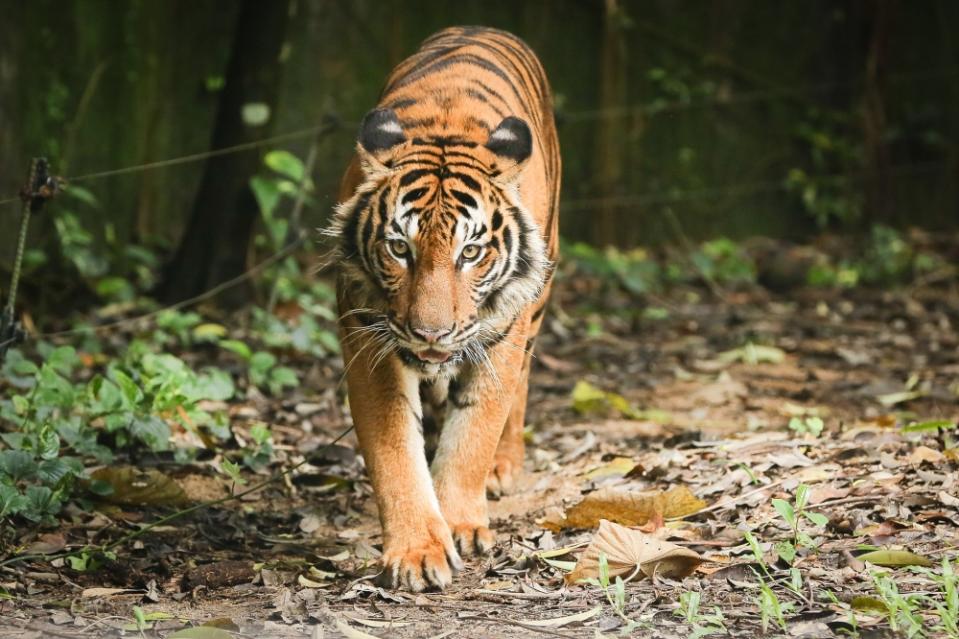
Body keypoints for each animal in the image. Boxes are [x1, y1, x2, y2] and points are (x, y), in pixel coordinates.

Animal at [326, 27, 560, 592]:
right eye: (399, 248)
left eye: (470, 253)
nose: (430, 333)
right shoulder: (368, 341)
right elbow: (393, 449)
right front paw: (417, 551)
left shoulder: (502, 333)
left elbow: (474, 431)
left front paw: (459, 524)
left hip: (537, 300)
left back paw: (503, 466)